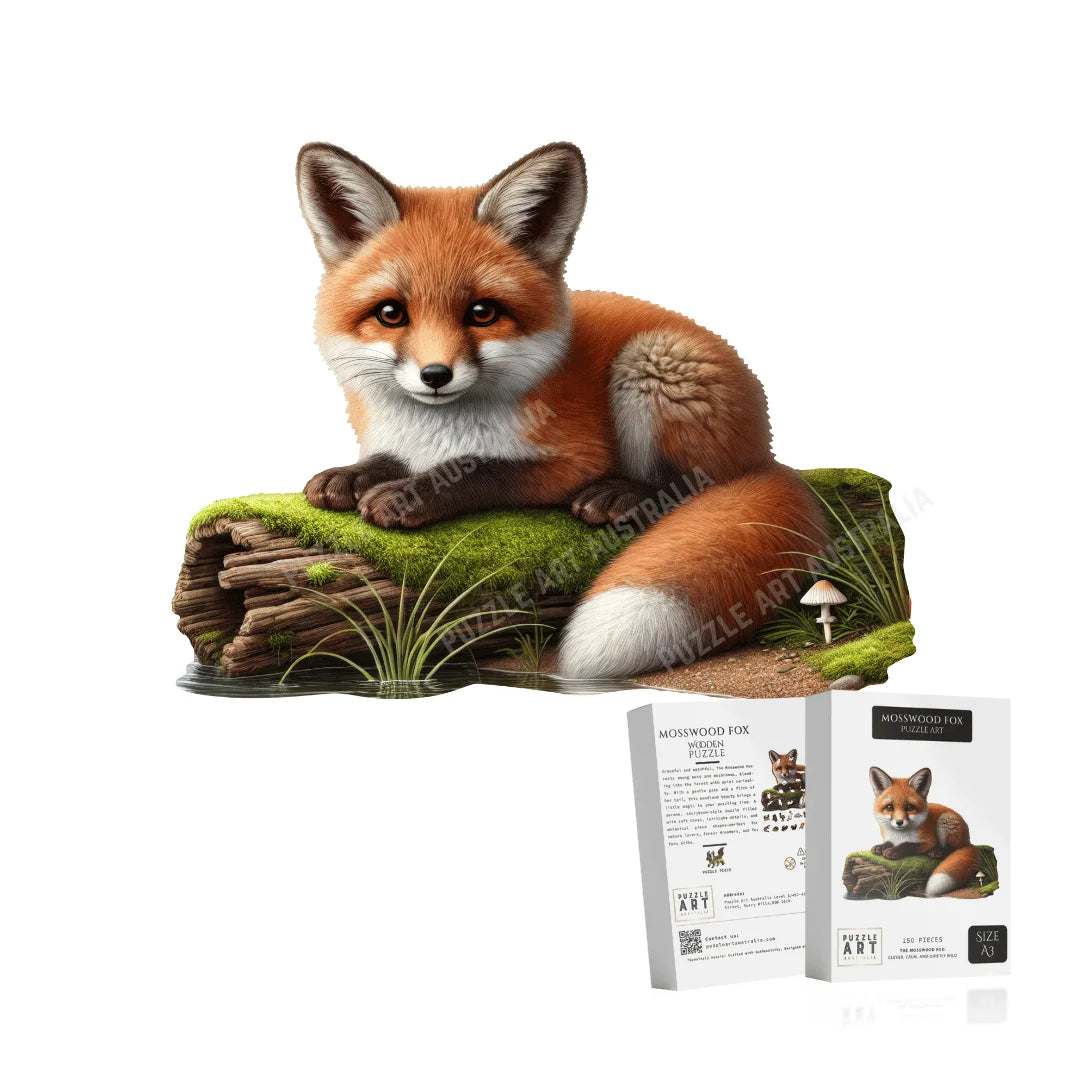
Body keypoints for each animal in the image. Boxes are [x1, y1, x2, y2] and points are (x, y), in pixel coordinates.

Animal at [294, 141, 828, 681]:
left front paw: (409, 495)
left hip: (651, 364)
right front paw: (351, 476)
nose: (436, 375)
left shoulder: (572, 460)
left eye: (482, 313)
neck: (437, 430)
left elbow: (480, 470)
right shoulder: (397, 440)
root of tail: (767, 452)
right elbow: (385, 460)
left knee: (696, 481)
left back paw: (624, 495)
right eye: (391, 314)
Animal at [869, 767, 980, 897]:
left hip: (945, 820)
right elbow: (888, 843)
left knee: (952, 849)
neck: (899, 836)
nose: (899, 822)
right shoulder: (891, 839)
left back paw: (938, 851)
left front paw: (893, 851)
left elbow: (907, 845)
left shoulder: (928, 842)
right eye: (889, 807)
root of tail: (969, 841)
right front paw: (880, 847)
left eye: (909, 807)